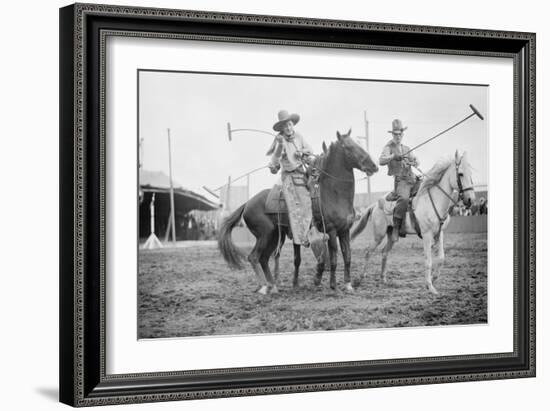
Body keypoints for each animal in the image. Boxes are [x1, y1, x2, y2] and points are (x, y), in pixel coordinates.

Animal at [219, 130, 380, 294]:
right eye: (349, 147)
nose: (373, 166)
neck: (333, 194)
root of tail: (247, 203)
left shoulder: (344, 230)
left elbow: (347, 257)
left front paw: (348, 284)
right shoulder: (331, 230)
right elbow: (334, 258)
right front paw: (333, 285)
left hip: (275, 235)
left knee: (264, 258)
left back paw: (273, 286)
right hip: (264, 235)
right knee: (253, 257)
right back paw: (264, 286)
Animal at [354, 152, 478, 296]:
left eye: (471, 174)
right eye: (461, 174)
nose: (470, 200)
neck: (434, 200)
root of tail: (375, 204)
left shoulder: (439, 233)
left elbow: (441, 258)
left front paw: (434, 278)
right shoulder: (426, 235)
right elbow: (428, 261)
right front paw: (430, 287)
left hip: (391, 235)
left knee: (384, 252)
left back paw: (383, 279)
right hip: (378, 234)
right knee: (368, 252)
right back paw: (360, 279)